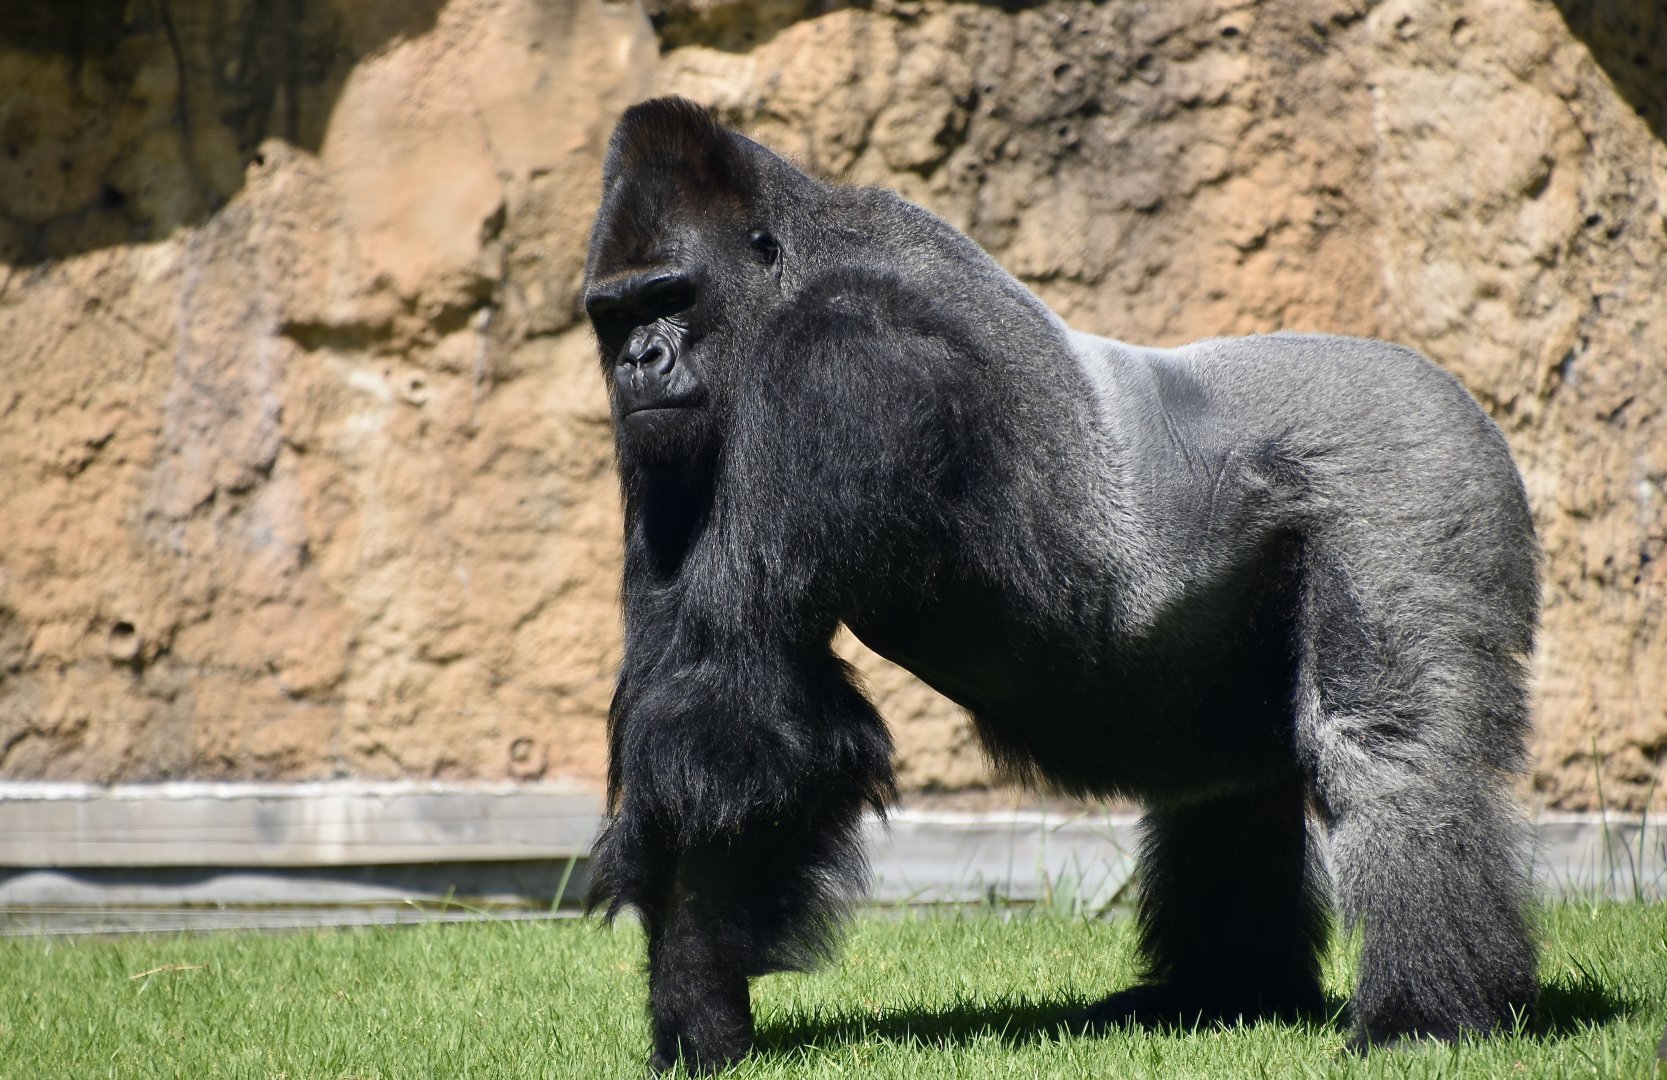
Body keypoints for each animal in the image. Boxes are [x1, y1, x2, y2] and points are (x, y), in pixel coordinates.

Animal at [581, 97, 1539, 1072]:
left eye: (671, 297)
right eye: (615, 314)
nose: (639, 361)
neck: (796, 268)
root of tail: (1453, 391)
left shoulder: (840, 358)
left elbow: (739, 716)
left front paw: (703, 1017)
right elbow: (697, 698)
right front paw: (692, 1002)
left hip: (1419, 465)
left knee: (1389, 744)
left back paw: (1419, 1016)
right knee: (1229, 777)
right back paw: (1223, 993)